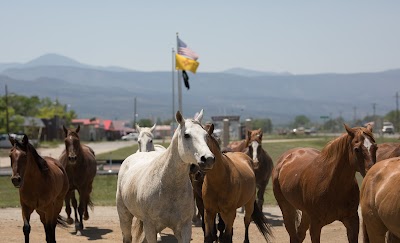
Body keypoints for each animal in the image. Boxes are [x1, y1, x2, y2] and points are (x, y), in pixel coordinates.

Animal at [115, 110, 216, 243]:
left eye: (206, 136)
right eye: (186, 135)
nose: (208, 159)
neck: (167, 184)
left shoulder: (184, 227)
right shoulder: (150, 226)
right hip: (124, 215)